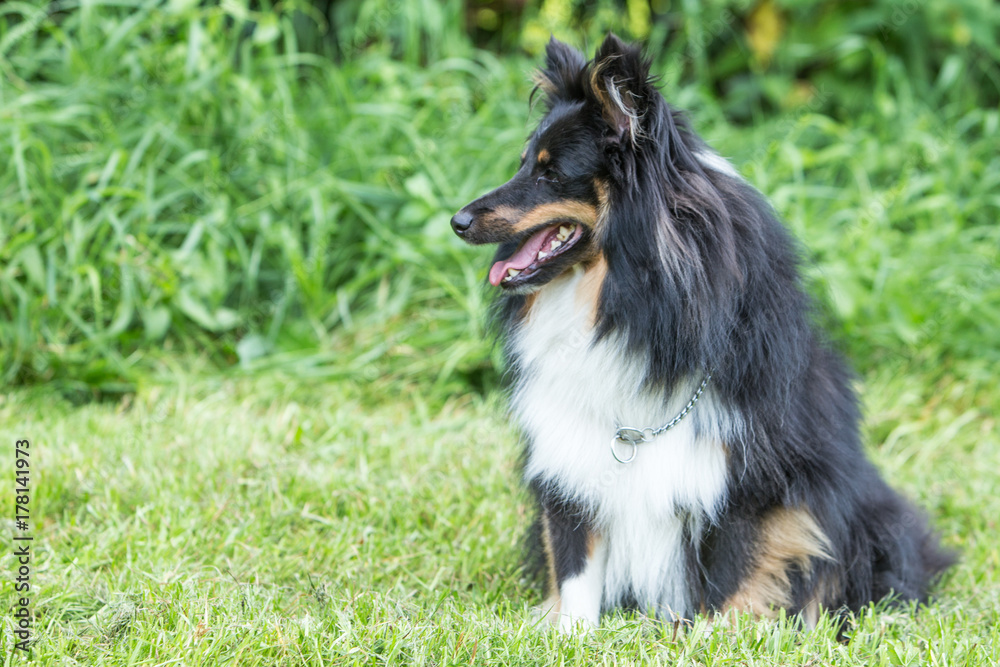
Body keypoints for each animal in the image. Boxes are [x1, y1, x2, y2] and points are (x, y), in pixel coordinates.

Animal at [450, 35, 948, 632]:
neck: (626, 303)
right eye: (524, 163)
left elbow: (733, 573)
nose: (457, 221)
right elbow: (574, 563)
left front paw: (711, 638)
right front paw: (570, 633)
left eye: (550, 173)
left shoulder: (747, 477)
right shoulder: (569, 457)